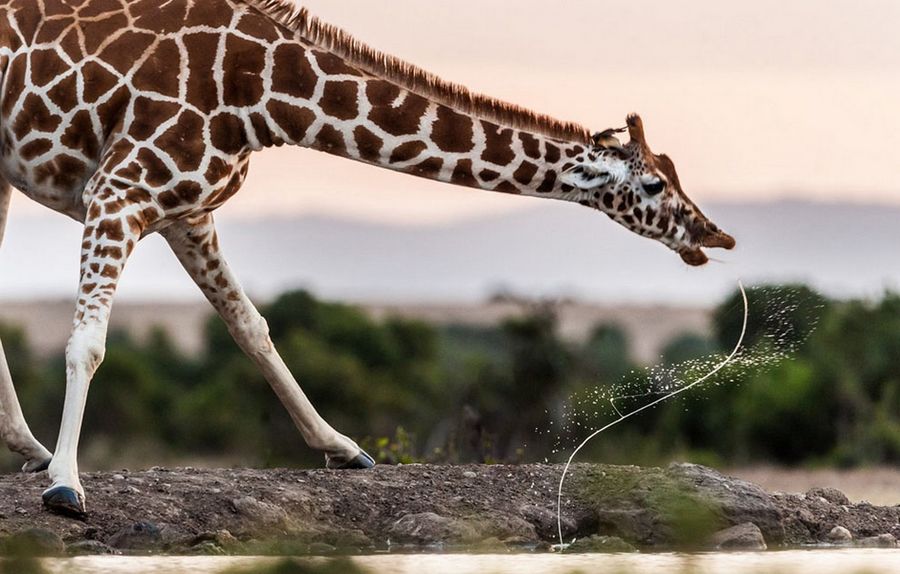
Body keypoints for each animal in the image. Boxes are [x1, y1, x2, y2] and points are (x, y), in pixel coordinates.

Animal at [0, 0, 736, 520]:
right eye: (653, 186)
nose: (716, 236)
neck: (263, 96)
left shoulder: (186, 211)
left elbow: (252, 328)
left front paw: (342, 448)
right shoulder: (118, 191)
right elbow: (90, 341)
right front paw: (66, 486)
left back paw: (27, 448)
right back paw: (39, 457)